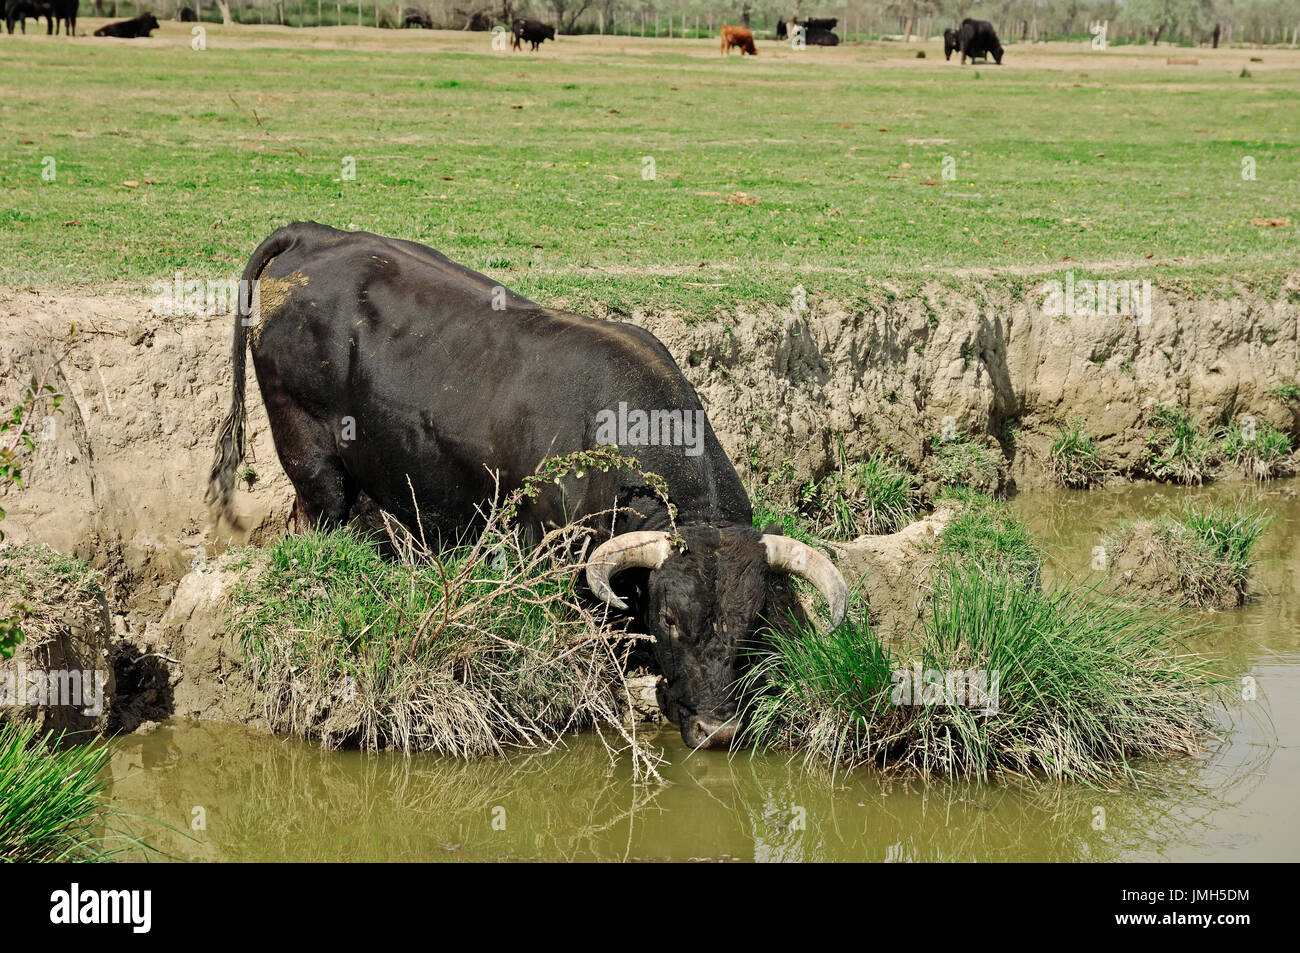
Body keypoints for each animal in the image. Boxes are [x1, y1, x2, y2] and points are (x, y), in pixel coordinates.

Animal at [208, 223, 847, 748]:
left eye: (752, 621)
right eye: (669, 617)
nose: (717, 731)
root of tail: (314, 233)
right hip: (310, 456)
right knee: (317, 521)